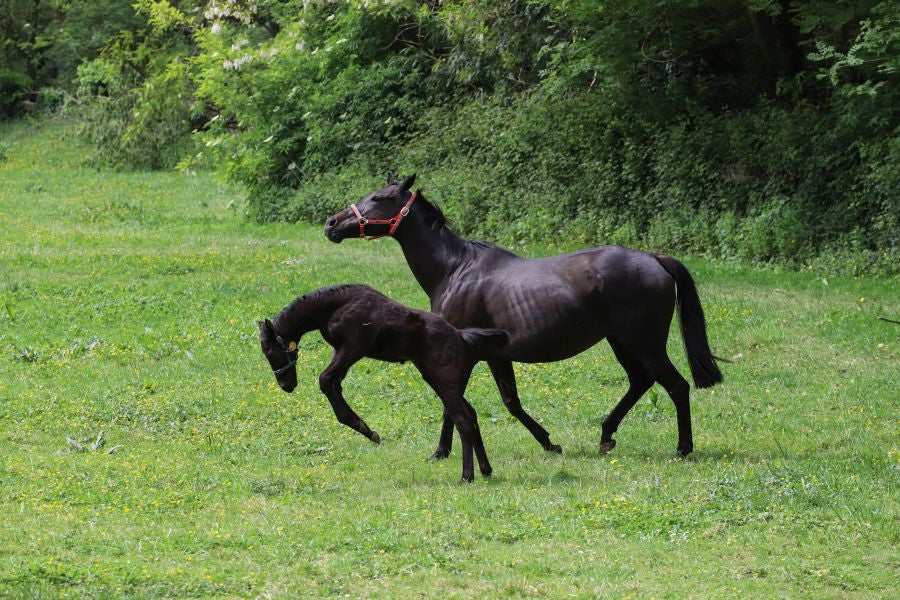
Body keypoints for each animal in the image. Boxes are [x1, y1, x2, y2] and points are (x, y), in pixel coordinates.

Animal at [258, 282, 506, 482]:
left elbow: (325, 380)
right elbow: (334, 385)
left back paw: (467, 476)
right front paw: (366, 429)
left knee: (463, 419)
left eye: (269, 350)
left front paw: (367, 430)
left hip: (443, 383)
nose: (286, 385)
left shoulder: (353, 348)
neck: (337, 305)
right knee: (471, 414)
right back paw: (485, 469)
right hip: (444, 383)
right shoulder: (341, 352)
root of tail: (462, 338)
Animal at [324, 176, 724, 458]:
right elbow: (510, 401)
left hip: (643, 343)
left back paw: (682, 448)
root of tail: (655, 258)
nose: (332, 223)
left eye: (379, 198)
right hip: (622, 343)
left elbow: (453, 402)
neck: (455, 269)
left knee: (676, 386)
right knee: (641, 382)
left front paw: (440, 451)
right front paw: (549, 443)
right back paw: (606, 435)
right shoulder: (495, 355)